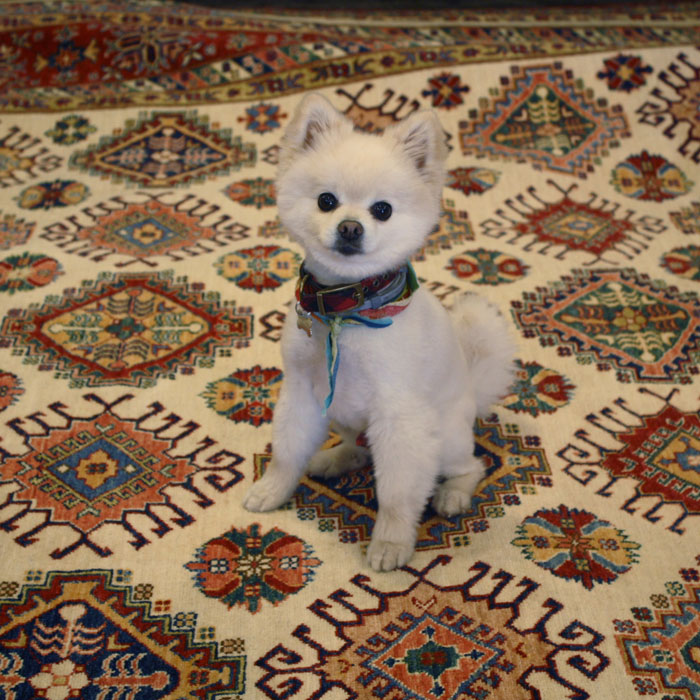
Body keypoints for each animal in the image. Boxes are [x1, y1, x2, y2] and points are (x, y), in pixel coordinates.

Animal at [243, 94, 516, 576]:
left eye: (382, 210)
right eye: (327, 200)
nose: (350, 227)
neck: (347, 311)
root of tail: (472, 393)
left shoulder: (399, 418)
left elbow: (397, 493)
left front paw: (390, 541)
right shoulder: (303, 392)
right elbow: (287, 450)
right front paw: (274, 489)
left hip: (445, 438)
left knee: (470, 466)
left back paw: (453, 494)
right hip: (341, 413)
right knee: (359, 447)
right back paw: (334, 458)